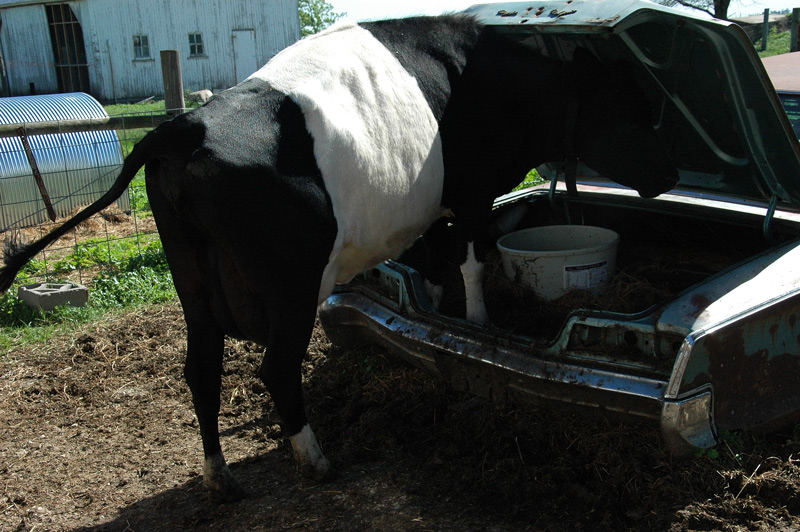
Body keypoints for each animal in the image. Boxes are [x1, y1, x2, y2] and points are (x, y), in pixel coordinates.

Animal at [0, 15, 677, 502]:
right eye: (632, 107)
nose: (671, 173)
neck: (505, 82)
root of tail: (185, 124)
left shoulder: (426, 209)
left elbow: (431, 261)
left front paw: (432, 308)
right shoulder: (472, 193)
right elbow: (470, 262)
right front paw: (478, 322)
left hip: (193, 283)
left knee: (201, 370)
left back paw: (222, 479)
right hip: (292, 286)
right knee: (275, 369)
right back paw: (316, 461)